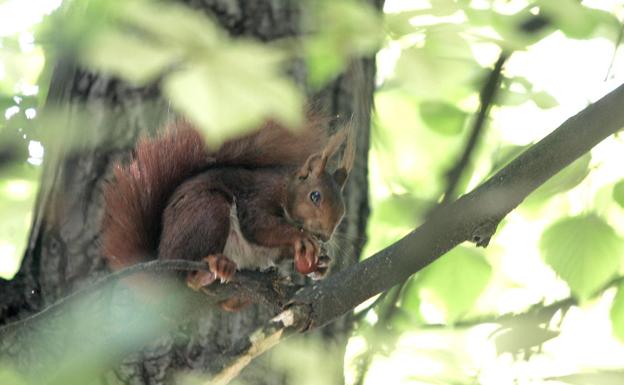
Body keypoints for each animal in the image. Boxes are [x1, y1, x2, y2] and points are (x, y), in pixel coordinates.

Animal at [103, 115, 356, 292]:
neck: (285, 189)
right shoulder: (258, 195)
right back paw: (211, 268)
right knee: (188, 277)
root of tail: (162, 256)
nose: (325, 237)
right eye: (315, 196)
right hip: (208, 211)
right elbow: (258, 225)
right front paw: (300, 237)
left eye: (343, 212)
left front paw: (322, 264)